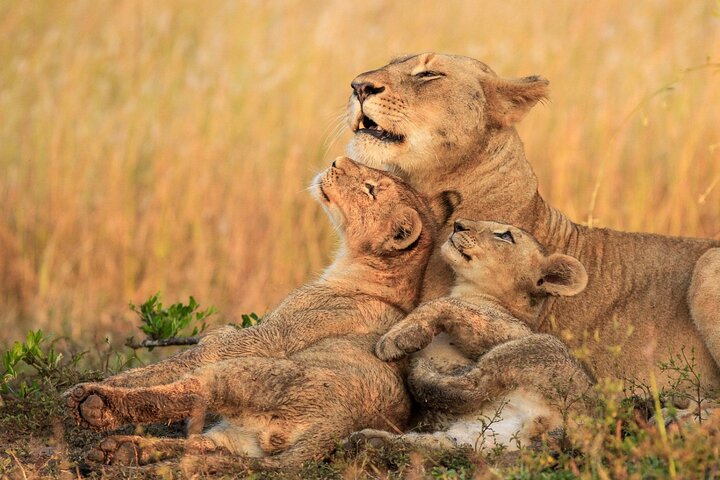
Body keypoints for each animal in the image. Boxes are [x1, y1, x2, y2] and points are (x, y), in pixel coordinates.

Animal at [65, 156, 457, 469]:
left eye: (371, 189)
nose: (337, 160)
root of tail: (335, 428)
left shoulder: (266, 338)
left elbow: (177, 361)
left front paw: (102, 382)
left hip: (244, 374)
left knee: (186, 393)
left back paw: (93, 403)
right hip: (240, 440)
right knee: (201, 452)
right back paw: (121, 451)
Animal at [351, 219, 593, 451]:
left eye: (506, 236)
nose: (458, 224)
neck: (470, 290)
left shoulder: (510, 330)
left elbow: (444, 303)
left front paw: (396, 339)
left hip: (537, 347)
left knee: (473, 386)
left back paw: (420, 371)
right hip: (477, 438)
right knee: (440, 445)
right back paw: (368, 442)